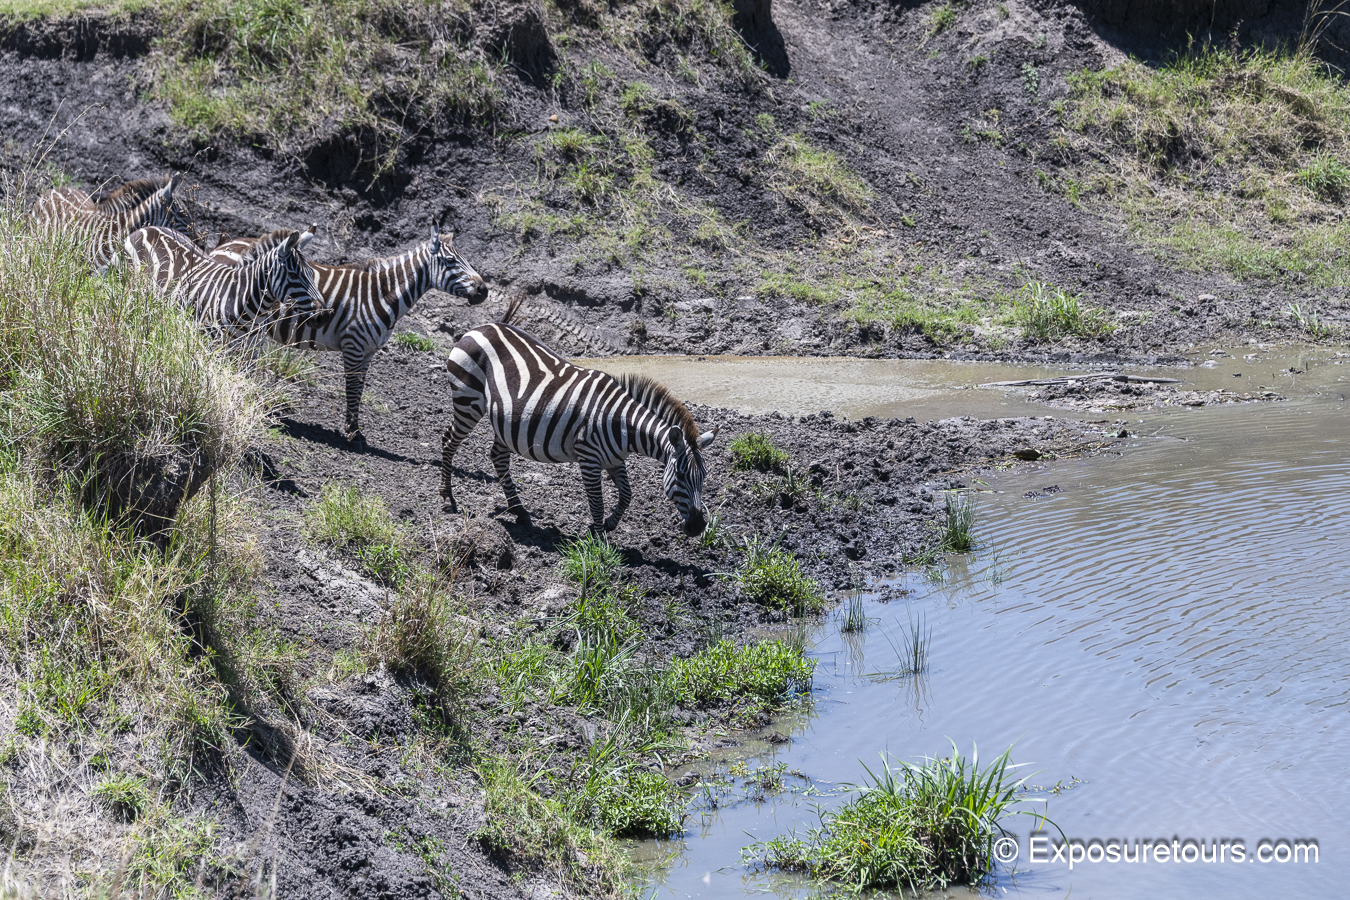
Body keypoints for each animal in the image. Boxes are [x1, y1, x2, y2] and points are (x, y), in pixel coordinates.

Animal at [210, 228, 489, 446]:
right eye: (450, 262)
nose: (484, 290)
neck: (382, 294)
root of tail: (222, 246)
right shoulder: (354, 346)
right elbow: (352, 388)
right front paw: (352, 434)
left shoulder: (368, 352)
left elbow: (360, 390)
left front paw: (355, 429)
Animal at [439, 322, 718, 537]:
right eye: (681, 476)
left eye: (704, 477)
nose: (698, 527)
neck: (623, 425)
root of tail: (478, 328)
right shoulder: (589, 458)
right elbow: (596, 502)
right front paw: (598, 542)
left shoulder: (614, 459)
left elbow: (627, 495)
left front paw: (608, 525)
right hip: (468, 401)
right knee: (448, 441)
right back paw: (446, 498)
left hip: (505, 423)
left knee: (497, 456)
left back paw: (519, 511)